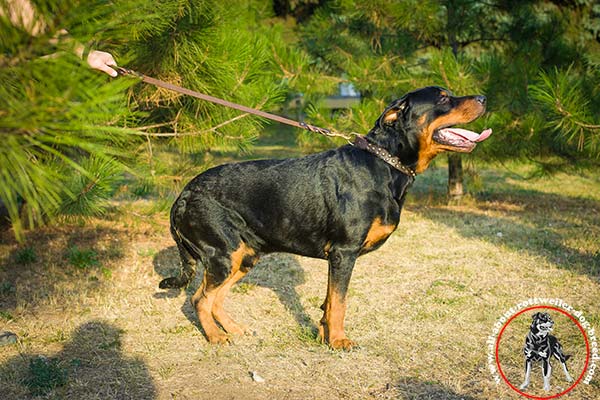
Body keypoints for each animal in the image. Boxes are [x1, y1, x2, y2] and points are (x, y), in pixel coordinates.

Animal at [161, 86, 492, 348]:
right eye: (443, 97)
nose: (484, 97)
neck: (384, 164)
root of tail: (183, 195)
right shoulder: (344, 252)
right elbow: (340, 302)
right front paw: (338, 341)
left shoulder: (337, 257)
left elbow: (329, 301)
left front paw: (324, 336)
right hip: (224, 254)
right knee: (200, 299)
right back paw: (217, 337)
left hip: (244, 256)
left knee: (214, 298)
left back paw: (233, 329)